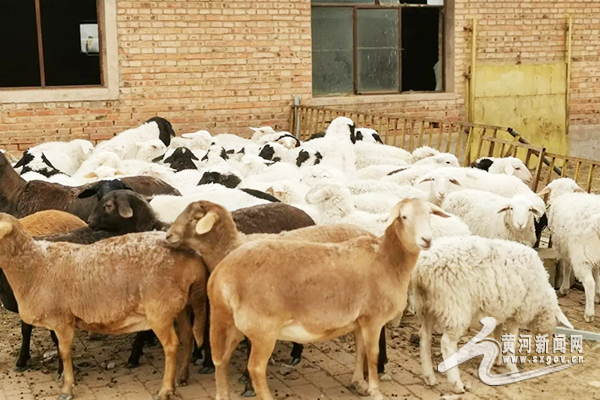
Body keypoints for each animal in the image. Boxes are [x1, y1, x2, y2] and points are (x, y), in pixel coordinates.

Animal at [412, 236, 572, 392]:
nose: (546, 340)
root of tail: (423, 268)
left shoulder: (500, 312)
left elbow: (498, 336)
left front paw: (498, 360)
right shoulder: (516, 313)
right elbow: (511, 341)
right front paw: (513, 369)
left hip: (428, 306)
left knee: (424, 337)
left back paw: (429, 377)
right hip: (455, 306)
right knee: (446, 343)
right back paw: (456, 383)